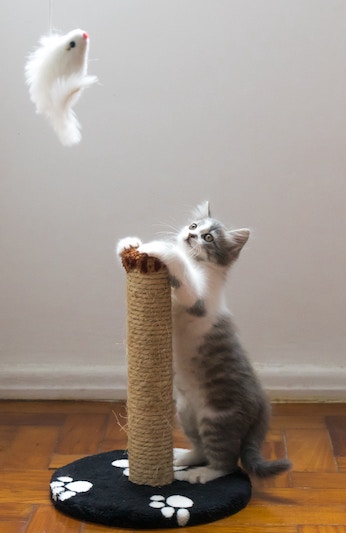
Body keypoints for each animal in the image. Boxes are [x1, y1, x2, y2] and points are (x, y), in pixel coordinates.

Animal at [117, 203, 292, 482]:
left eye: (208, 238)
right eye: (194, 226)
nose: (191, 236)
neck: (197, 263)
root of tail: (262, 406)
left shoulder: (198, 298)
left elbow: (182, 272)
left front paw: (161, 248)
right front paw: (130, 243)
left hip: (218, 420)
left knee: (226, 462)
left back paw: (201, 474)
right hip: (186, 412)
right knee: (201, 448)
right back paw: (184, 457)